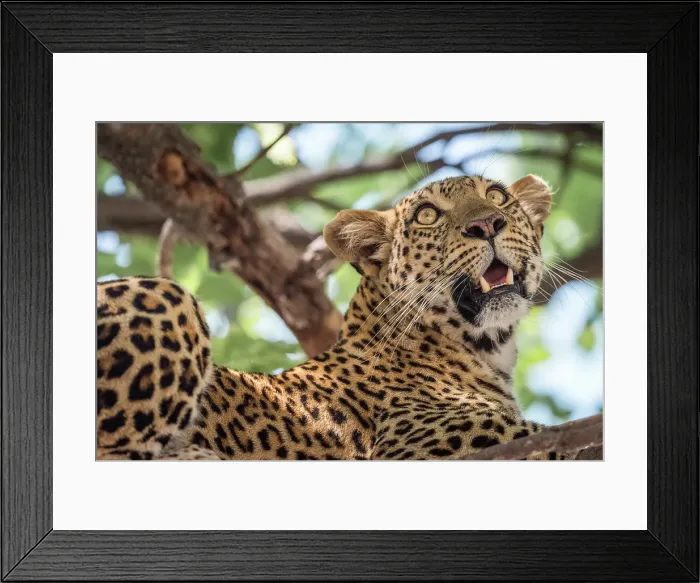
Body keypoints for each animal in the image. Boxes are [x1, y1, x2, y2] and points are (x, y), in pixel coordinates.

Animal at [97, 173, 575, 460]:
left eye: (497, 197)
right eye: (427, 215)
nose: (488, 224)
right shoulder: (427, 444)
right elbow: (553, 436)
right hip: (170, 296)